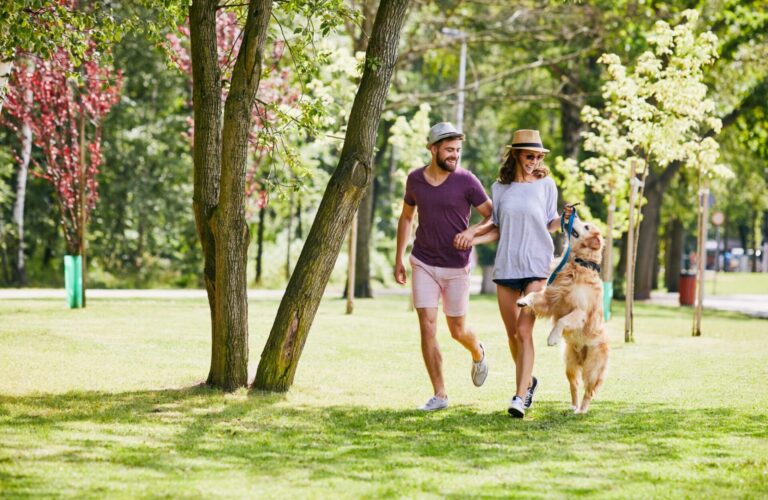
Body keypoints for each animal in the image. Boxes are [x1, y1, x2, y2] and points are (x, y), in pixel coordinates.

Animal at [516, 219, 608, 414]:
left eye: (587, 226)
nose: (572, 216)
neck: (578, 262)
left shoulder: (580, 311)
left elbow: (562, 320)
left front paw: (552, 338)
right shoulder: (551, 298)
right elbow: (534, 295)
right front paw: (523, 301)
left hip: (592, 368)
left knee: (589, 391)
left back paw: (582, 410)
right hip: (570, 365)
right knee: (574, 386)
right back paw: (573, 406)